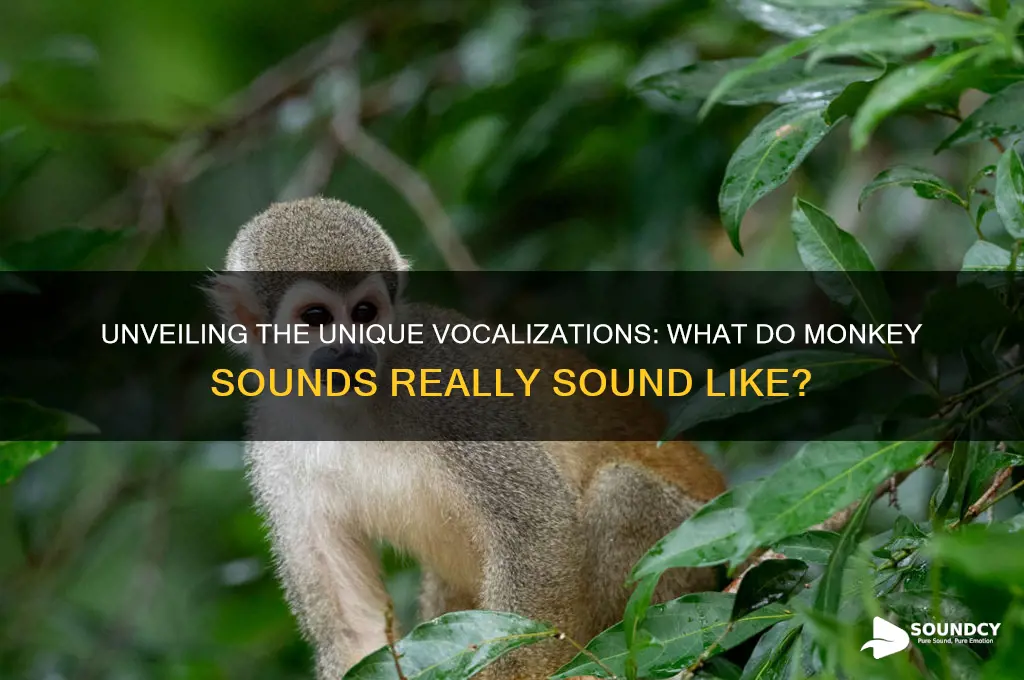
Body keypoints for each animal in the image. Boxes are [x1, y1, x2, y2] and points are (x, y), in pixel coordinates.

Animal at [206, 196, 727, 680]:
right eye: (316, 317)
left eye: (364, 312)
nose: (352, 350)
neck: (346, 410)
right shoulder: (275, 441)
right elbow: (351, 627)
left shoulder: (447, 387)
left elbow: (537, 526)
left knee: (621, 491)